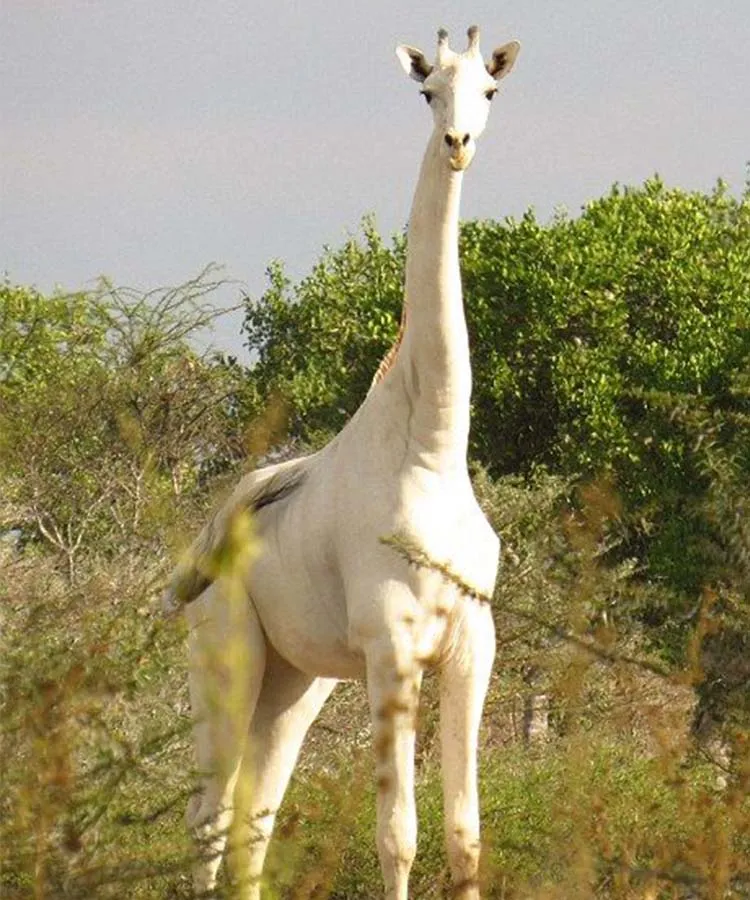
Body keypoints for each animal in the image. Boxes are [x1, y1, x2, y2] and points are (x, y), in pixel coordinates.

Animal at [167, 24, 524, 896]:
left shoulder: (473, 646)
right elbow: (397, 836)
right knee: (207, 822)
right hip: (225, 660)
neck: (430, 451)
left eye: (490, 92)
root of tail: (202, 547)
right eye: (428, 91)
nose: (459, 145)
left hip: (296, 682)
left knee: (254, 825)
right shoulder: (392, 647)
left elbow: (465, 836)